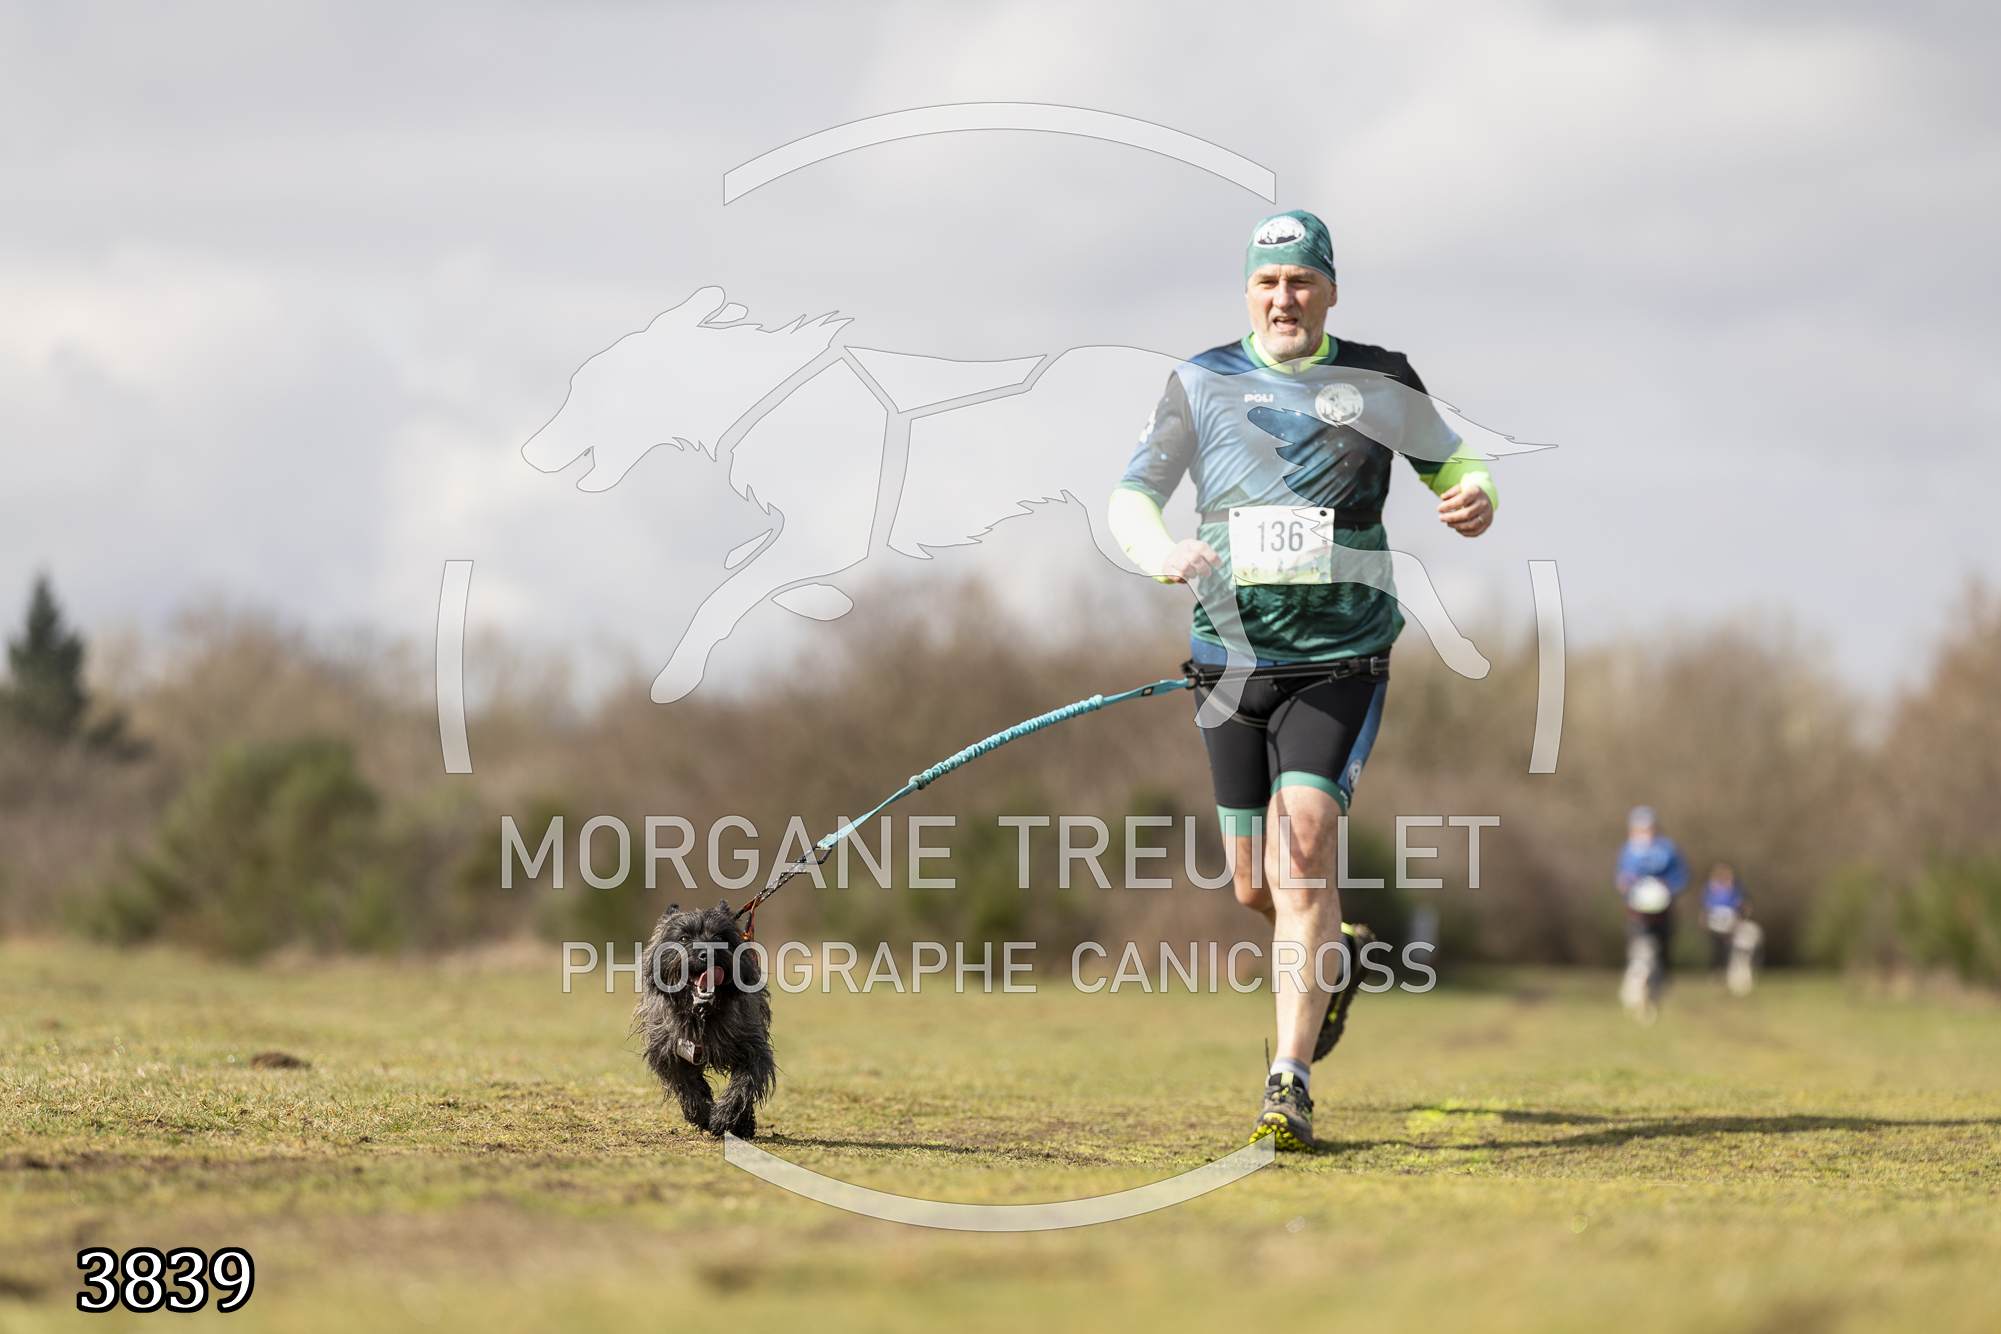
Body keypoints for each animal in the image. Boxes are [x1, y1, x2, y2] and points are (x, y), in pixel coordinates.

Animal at [632, 900, 776, 1138]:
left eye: (719, 937)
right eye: (683, 938)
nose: (708, 953)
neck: (701, 1013)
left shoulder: (753, 1046)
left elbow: (744, 1083)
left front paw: (724, 1116)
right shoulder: (668, 1050)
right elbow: (686, 1085)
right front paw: (702, 1114)